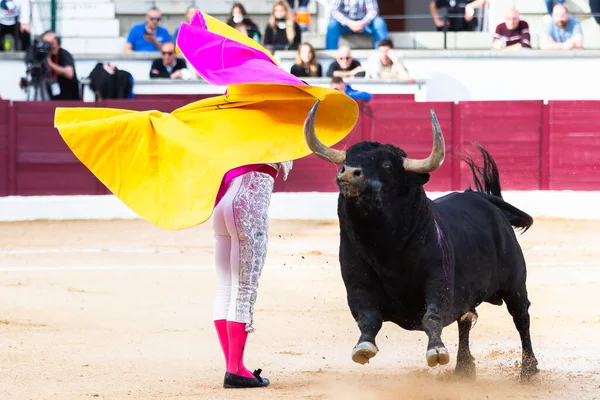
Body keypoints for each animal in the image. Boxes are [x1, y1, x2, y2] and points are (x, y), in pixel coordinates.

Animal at [304, 99, 540, 378]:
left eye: (387, 165)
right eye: (348, 159)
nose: (349, 173)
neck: (385, 246)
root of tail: (484, 199)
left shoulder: (437, 281)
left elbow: (432, 316)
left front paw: (437, 351)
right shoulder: (356, 285)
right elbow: (368, 318)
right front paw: (363, 348)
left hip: (515, 283)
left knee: (521, 318)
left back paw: (528, 371)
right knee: (466, 320)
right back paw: (463, 368)